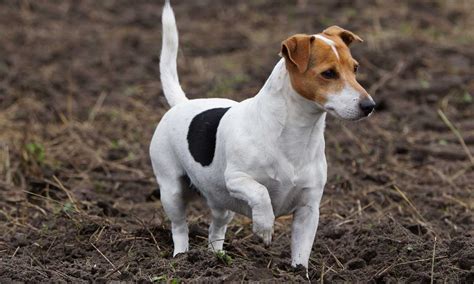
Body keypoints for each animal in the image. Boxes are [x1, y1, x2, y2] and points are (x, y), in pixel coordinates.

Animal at [150, 0, 376, 268]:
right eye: (328, 73)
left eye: (355, 68)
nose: (369, 105)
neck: (296, 133)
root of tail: (181, 104)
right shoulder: (237, 179)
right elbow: (262, 194)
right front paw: (264, 228)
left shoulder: (308, 209)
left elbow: (302, 251)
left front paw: (299, 272)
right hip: (172, 191)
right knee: (179, 227)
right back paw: (182, 257)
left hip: (220, 201)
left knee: (216, 229)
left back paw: (216, 257)